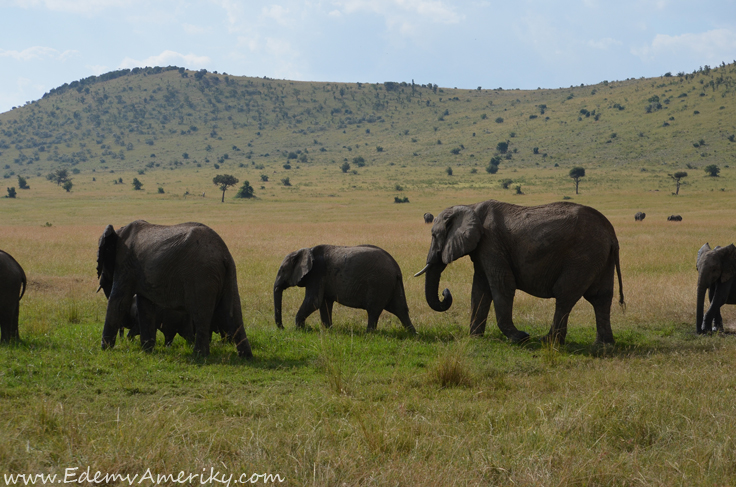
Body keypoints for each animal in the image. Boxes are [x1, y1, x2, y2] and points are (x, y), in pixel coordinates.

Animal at [96, 221, 252, 358]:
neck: (118, 231)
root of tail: (224, 254)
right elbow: (145, 305)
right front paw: (147, 350)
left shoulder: (125, 263)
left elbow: (119, 301)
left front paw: (105, 349)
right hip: (228, 276)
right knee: (233, 313)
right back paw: (245, 357)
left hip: (201, 275)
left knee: (200, 314)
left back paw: (199, 355)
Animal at [274, 246, 416, 334]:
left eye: (282, 270)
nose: (283, 328)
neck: (306, 250)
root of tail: (396, 268)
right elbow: (324, 303)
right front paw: (328, 330)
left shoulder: (317, 273)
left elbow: (314, 301)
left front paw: (301, 329)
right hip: (392, 284)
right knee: (400, 309)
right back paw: (413, 334)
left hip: (379, 284)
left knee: (373, 311)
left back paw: (368, 334)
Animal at [416, 200, 624, 346]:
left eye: (434, 235)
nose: (445, 292)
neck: (470, 206)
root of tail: (611, 234)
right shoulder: (484, 248)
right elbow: (480, 289)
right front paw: (475, 338)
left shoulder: (491, 243)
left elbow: (502, 285)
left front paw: (520, 338)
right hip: (600, 258)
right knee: (601, 297)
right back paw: (603, 345)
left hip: (583, 256)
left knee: (565, 295)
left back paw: (548, 341)